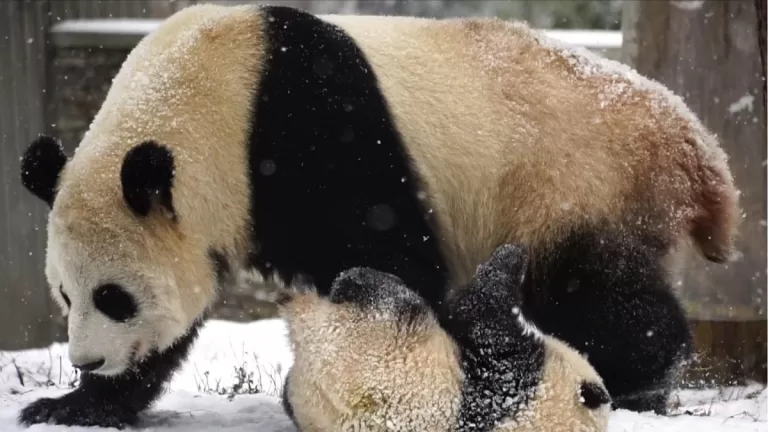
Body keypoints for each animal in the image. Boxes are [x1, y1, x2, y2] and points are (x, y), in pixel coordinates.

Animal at [279, 243, 612, 431]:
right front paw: (516, 255)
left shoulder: (508, 382)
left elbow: (480, 309)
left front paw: (508, 259)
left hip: (382, 331)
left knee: (374, 287)